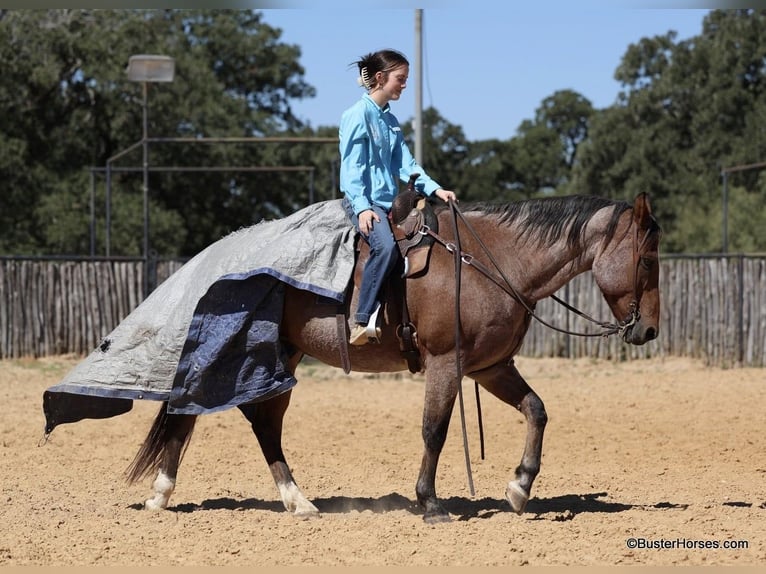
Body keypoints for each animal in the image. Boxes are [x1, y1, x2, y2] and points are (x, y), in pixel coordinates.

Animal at [126, 192, 661, 524]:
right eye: (647, 259)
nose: (650, 329)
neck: (492, 263)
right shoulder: (447, 363)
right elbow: (435, 430)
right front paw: (430, 502)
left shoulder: (490, 367)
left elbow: (537, 410)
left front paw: (520, 486)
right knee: (191, 412)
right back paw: (161, 494)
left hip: (284, 357)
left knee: (262, 423)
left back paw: (296, 500)